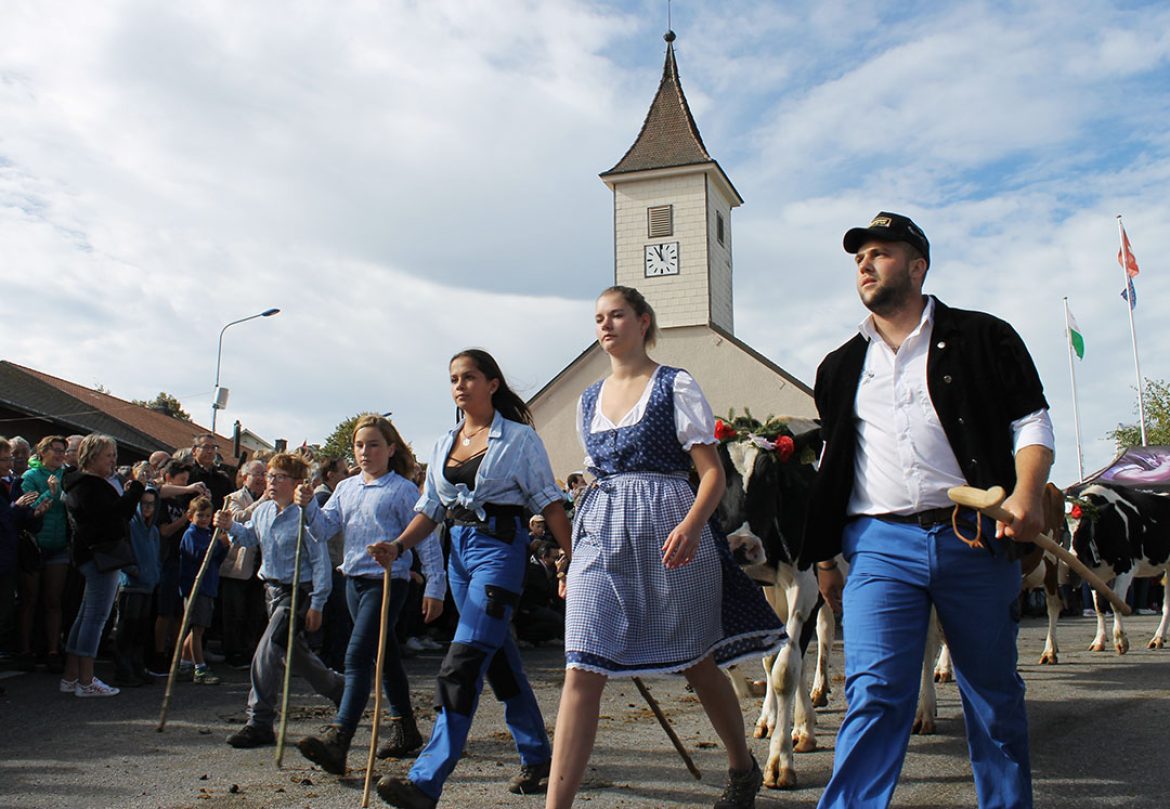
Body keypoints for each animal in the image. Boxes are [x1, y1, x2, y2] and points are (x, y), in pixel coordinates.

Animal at [1071, 484, 1170, 655]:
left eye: (1085, 529)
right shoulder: (1095, 576)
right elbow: (1099, 606)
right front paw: (1098, 641)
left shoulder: (1126, 567)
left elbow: (1116, 602)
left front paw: (1120, 641)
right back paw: (1158, 639)